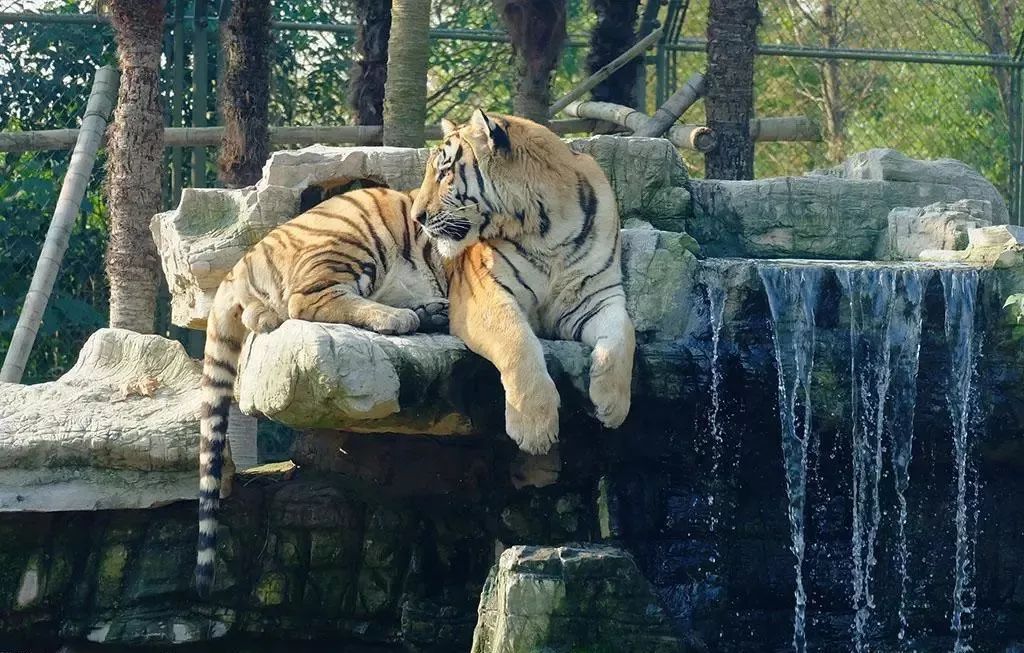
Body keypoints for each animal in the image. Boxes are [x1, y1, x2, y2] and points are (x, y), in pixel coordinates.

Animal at [407, 111, 630, 460]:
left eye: (445, 173)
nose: (417, 217)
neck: (548, 229)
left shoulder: (597, 297)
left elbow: (622, 338)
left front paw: (613, 405)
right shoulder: (486, 295)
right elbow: (518, 340)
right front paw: (535, 427)